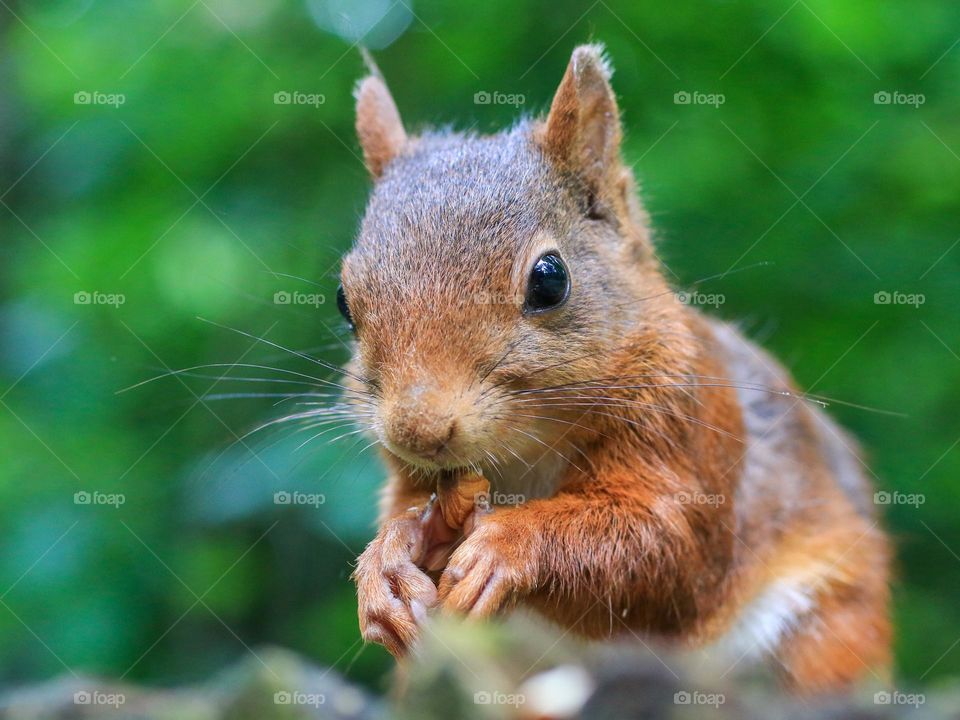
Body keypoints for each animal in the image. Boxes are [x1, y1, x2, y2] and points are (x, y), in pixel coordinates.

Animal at [342, 43, 888, 692]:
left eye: (549, 279)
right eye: (344, 302)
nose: (418, 432)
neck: (525, 454)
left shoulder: (687, 430)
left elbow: (665, 548)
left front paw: (508, 545)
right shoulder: (415, 479)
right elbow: (404, 510)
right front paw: (387, 564)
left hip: (825, 627)